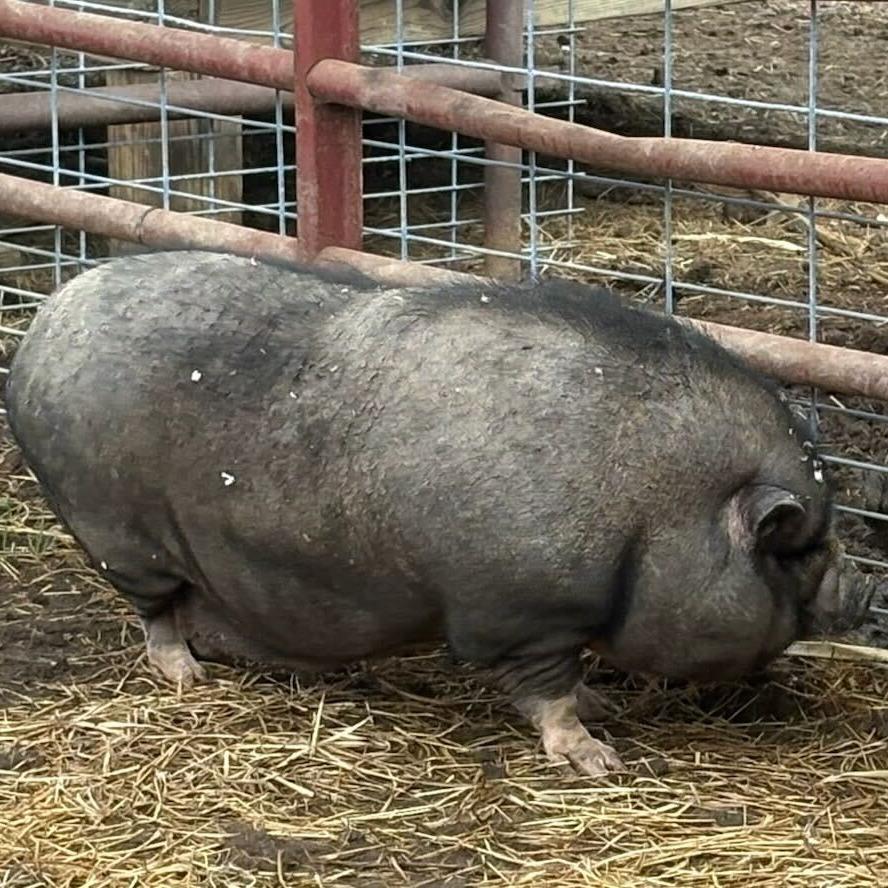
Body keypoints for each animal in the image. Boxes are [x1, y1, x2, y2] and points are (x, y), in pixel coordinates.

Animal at [4, 250, 878, 776]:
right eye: (797, 548)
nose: (866, 588)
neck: (655, 511)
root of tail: (48, 317)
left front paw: (600, 712)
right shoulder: (523, 611)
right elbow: (546, 690)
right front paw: (596, 759)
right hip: (116, 531)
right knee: (154, 611)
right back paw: (186, 675)